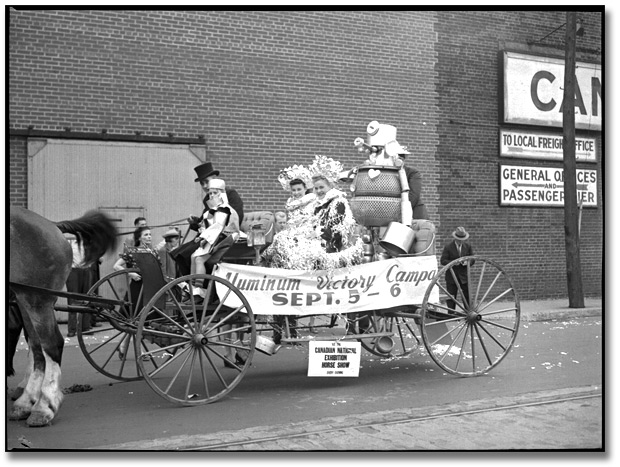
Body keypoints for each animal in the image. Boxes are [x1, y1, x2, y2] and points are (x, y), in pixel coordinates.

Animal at [8, 207, 117, 426]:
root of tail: (52, 225)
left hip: (36, 297)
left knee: (51, 344)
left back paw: (43, 406)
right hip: (26, 297)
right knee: (37, 346)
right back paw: (26, 402)